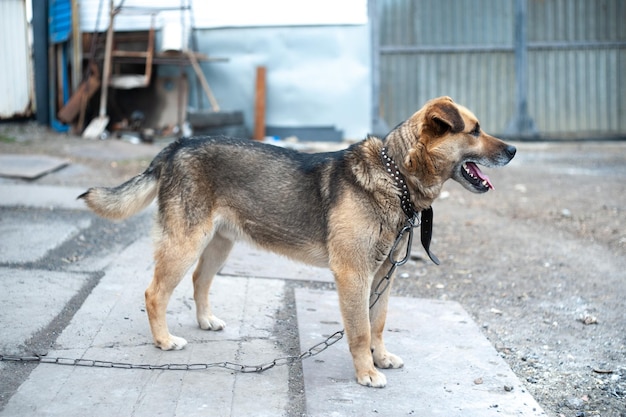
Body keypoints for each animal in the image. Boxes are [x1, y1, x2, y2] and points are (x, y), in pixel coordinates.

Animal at [78, 96, 516, 386]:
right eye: (475, 130)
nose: (513, 149)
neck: (396, 176)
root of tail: (176, 146)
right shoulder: (353, 275)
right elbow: (359, 330)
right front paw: (365, 372)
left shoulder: (384, 276)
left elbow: (377, 323)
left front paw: (380, 358)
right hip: (186, 243)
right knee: (155, 293)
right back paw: (164, 341)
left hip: (218, 244)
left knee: (199, 281)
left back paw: (205, 321)